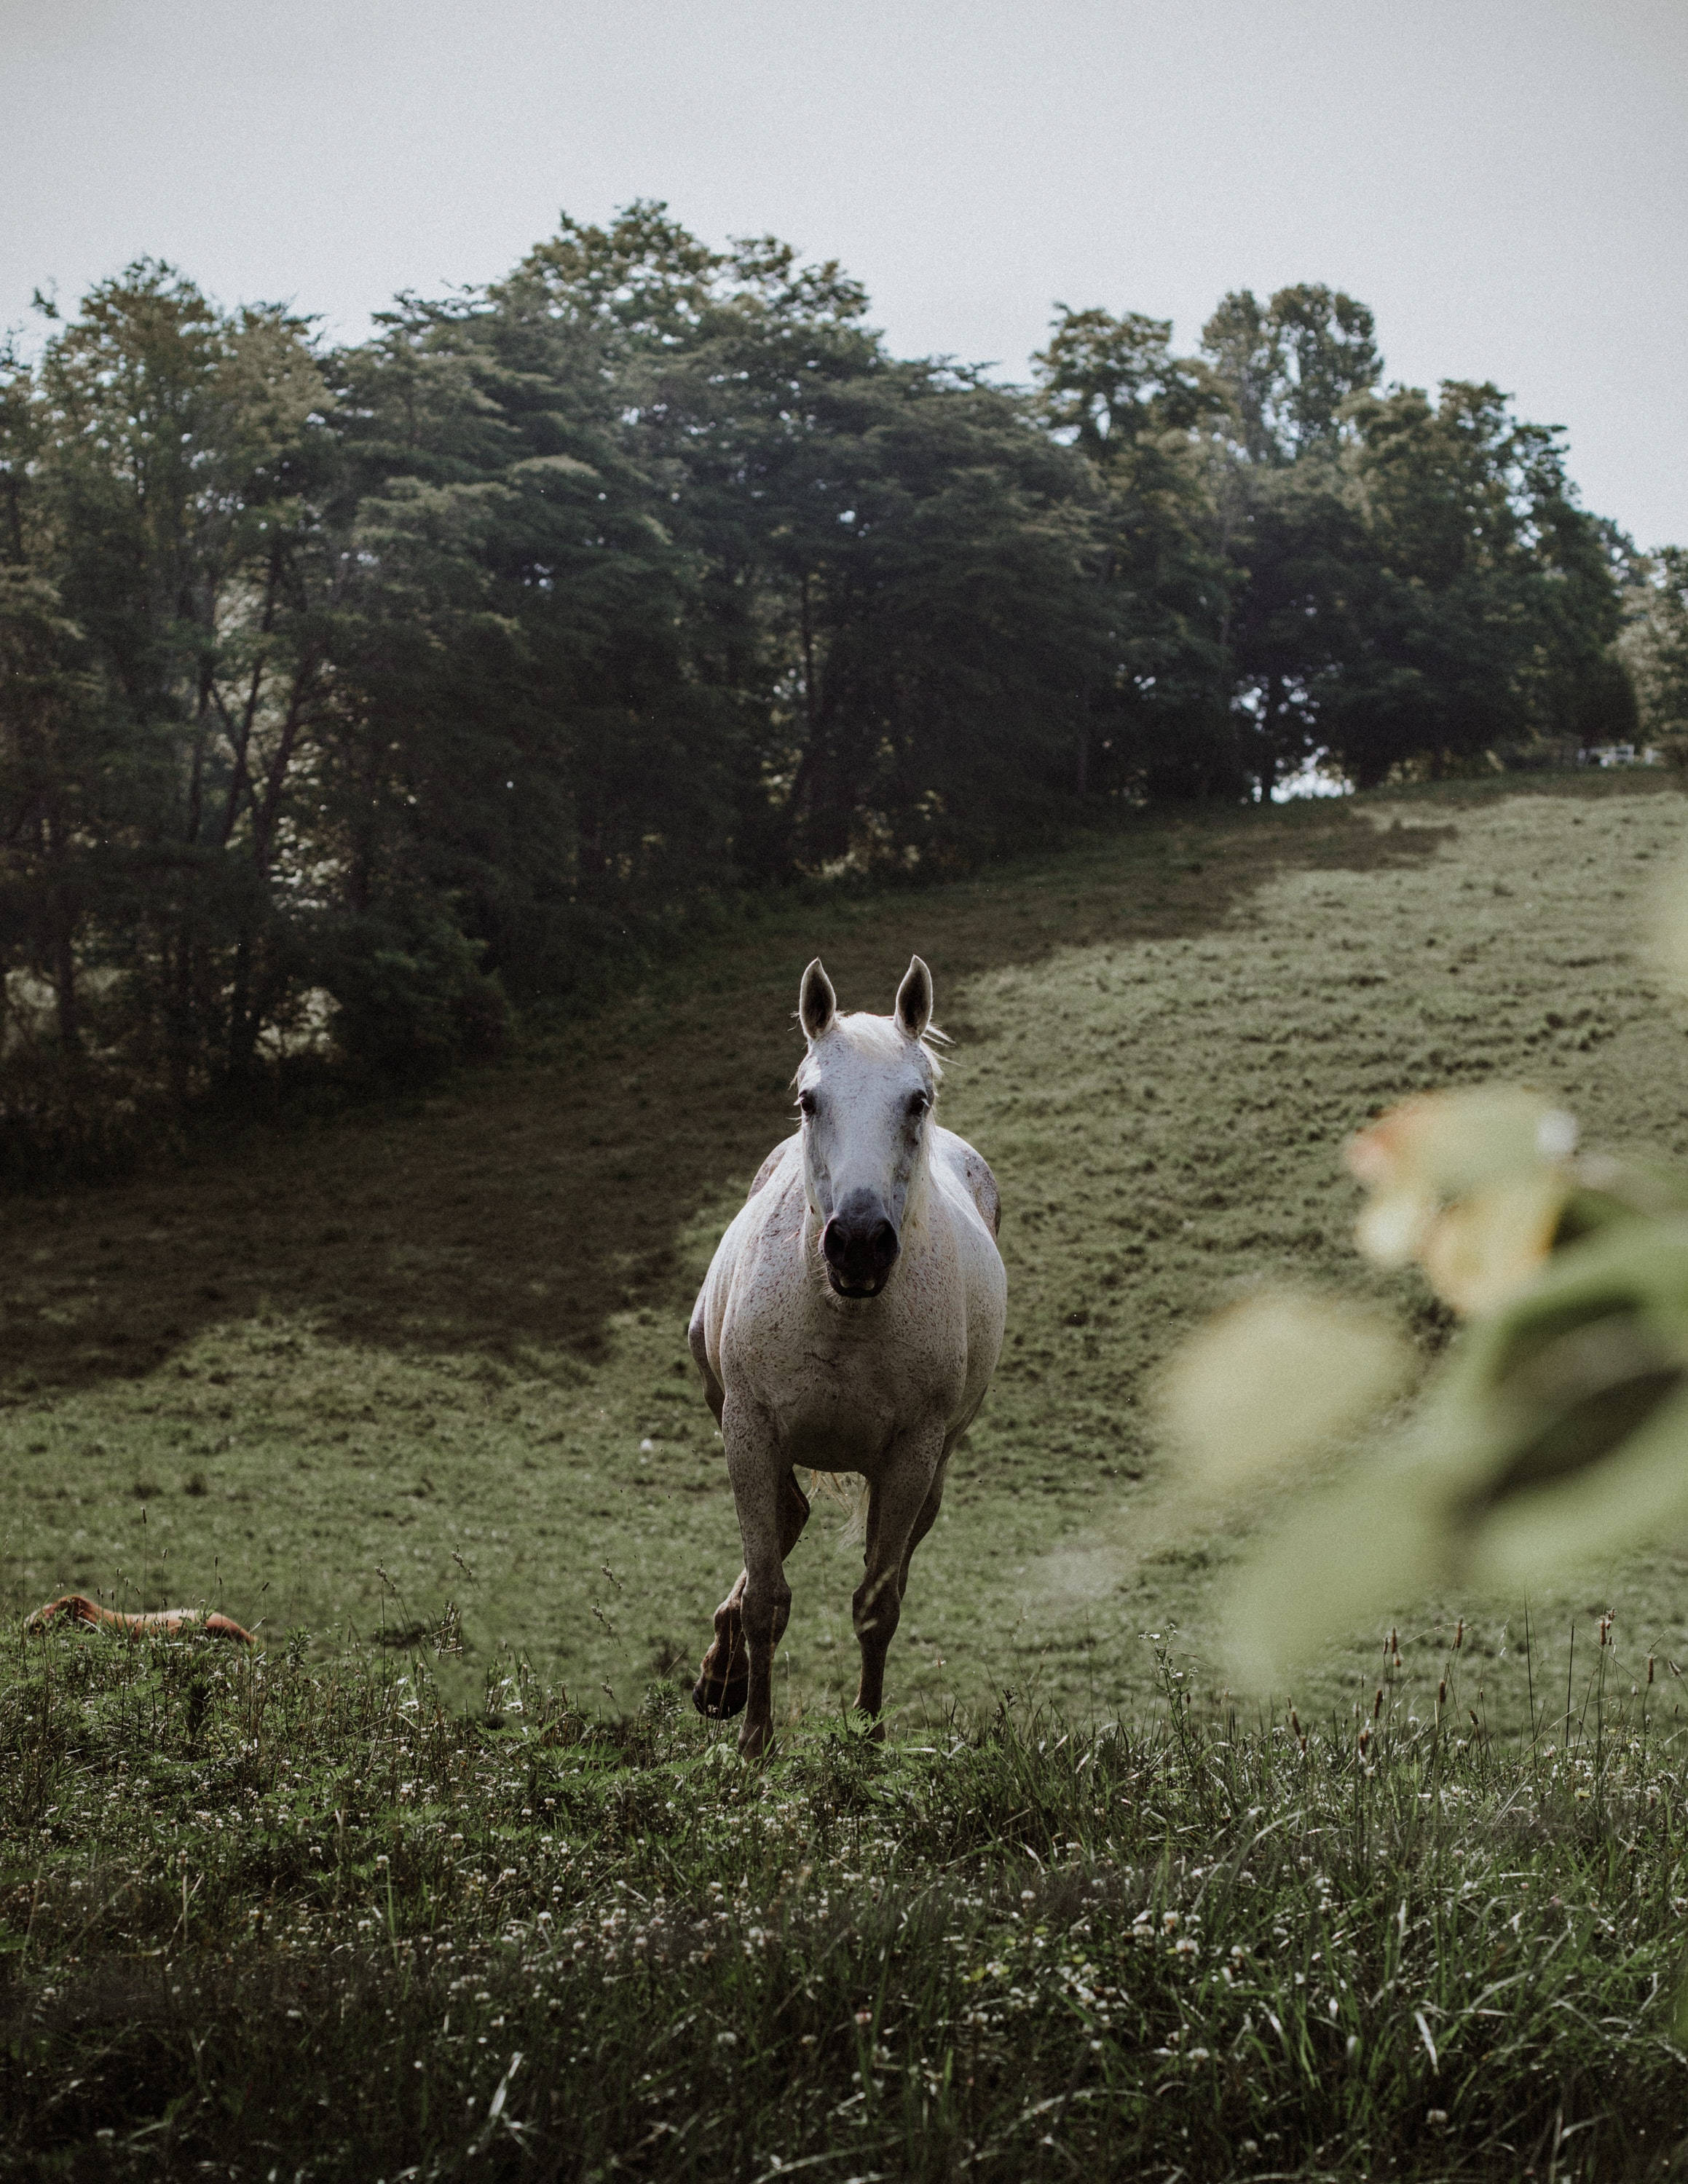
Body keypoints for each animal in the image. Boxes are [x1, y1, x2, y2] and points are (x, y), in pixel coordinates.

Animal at [688, 954, 1006, 1757]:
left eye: (916, 1101)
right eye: (808, 1100)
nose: (858, 1243)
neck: (843, 1316)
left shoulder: (910, 1457)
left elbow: (876, 1605)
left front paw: (866, 1736)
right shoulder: (748, 1427)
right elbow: (768, 1597)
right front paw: (755, 1740)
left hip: (932, 1469)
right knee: (785, 1521)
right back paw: (722, 1677)